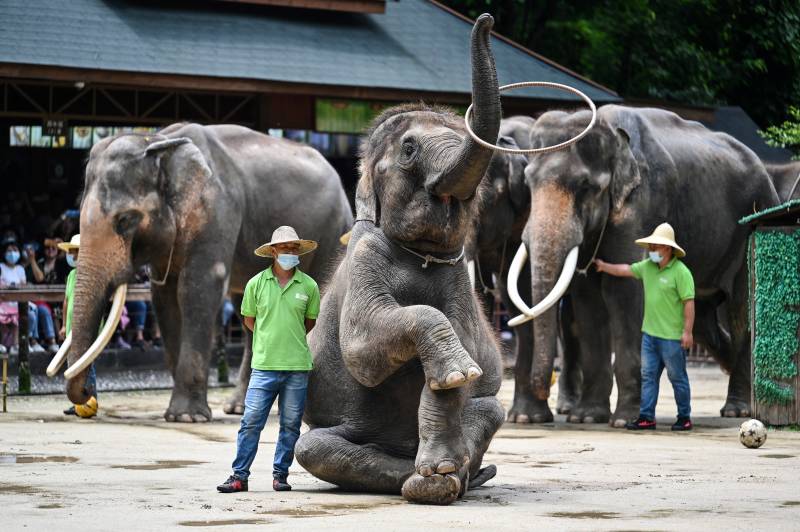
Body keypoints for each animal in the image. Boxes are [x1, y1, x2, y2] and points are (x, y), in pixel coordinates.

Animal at [294, 15, 504, 508]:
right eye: (409, 149)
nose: (486, 20)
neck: (420, 255)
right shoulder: (364, 254)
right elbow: (362, 348)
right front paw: (456, 374)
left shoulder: (458, 271)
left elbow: (465, 348)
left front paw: (456, 381)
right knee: (313, 448)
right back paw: (425, 479)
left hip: (489, 408)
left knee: (491, 408)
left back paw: (452, 477)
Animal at [506, 106, 780, 426]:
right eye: (528, 184)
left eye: (585, 187)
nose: (545, 386)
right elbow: (588, 300)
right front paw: (587, 418)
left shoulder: (644, 204)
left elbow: (624, 292)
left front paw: (624, 421)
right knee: (703, 319)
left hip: (754, 222)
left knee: (742, 308)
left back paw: (738, 410)